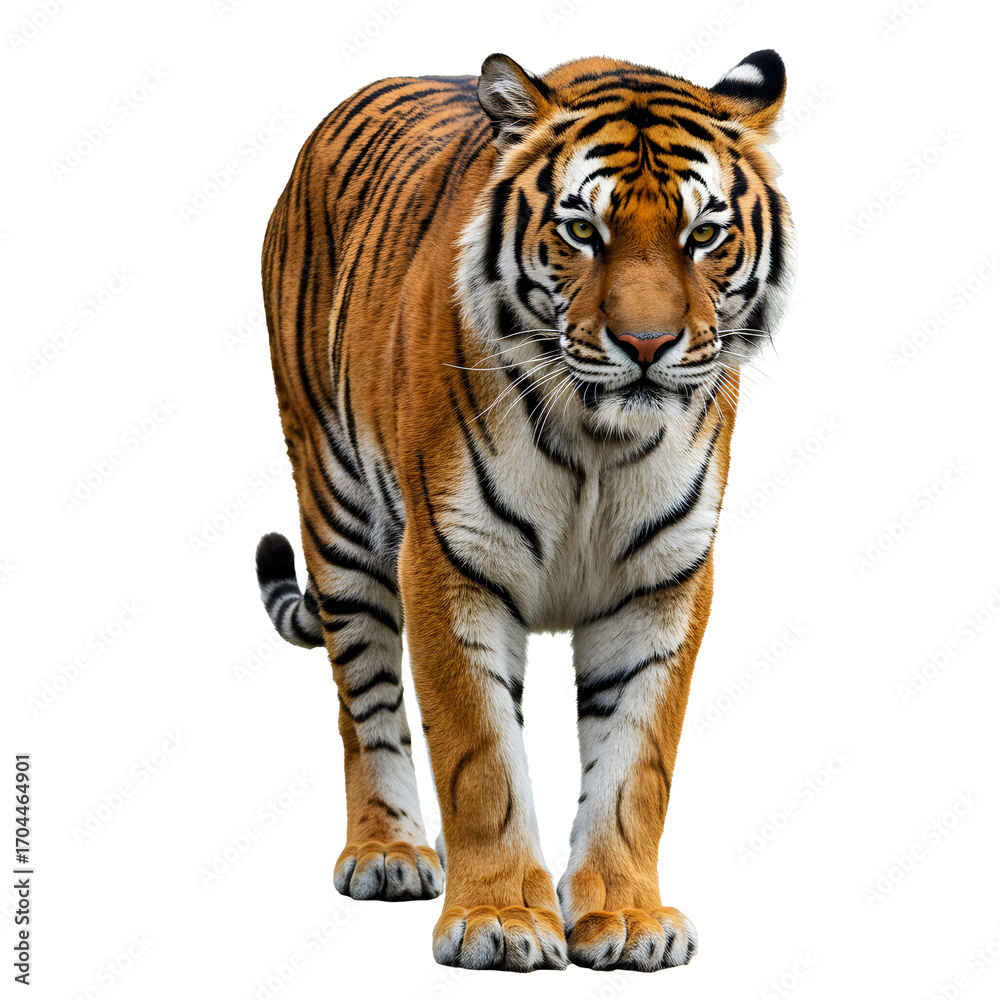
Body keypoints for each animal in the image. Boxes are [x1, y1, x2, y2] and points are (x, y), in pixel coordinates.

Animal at [256, 49, 795, 972]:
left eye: (703, 235)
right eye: (583, 232)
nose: (646, 345)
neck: (601, 440)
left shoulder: (663, 581)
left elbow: (635, 766)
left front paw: (625, 917)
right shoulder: (450, 559)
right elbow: (481, 758)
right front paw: (502, 919)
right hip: (337, 510)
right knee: (364, 699)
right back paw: (388, 851)